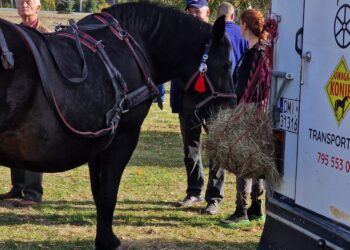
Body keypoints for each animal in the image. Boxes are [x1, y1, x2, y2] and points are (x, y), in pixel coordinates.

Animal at [0, 2, 235, 250]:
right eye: (226, 64)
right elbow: (108, 193)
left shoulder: (98, 143)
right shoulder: (123, 137)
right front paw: (107, 240)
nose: (231, 108)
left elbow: (99, 192)